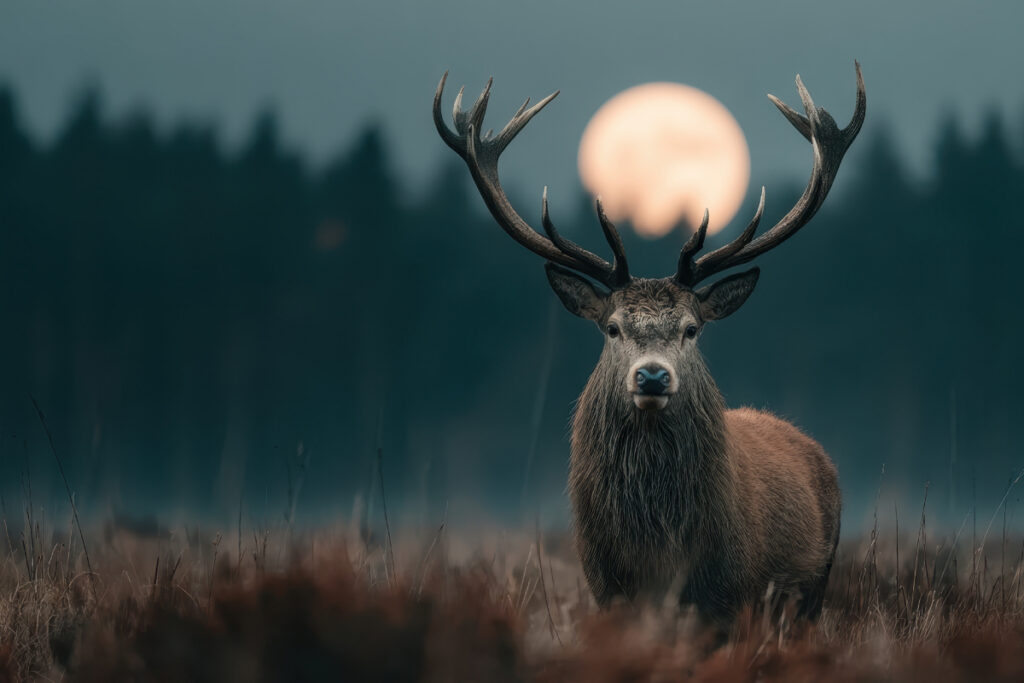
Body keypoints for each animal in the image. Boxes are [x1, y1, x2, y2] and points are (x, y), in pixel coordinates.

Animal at [433, 63, 865, 624]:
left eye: (691, 328)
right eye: (613, 327)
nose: (653, 376)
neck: (658, 547)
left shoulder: (728, 593)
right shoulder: (606, 584)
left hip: (814, 589)